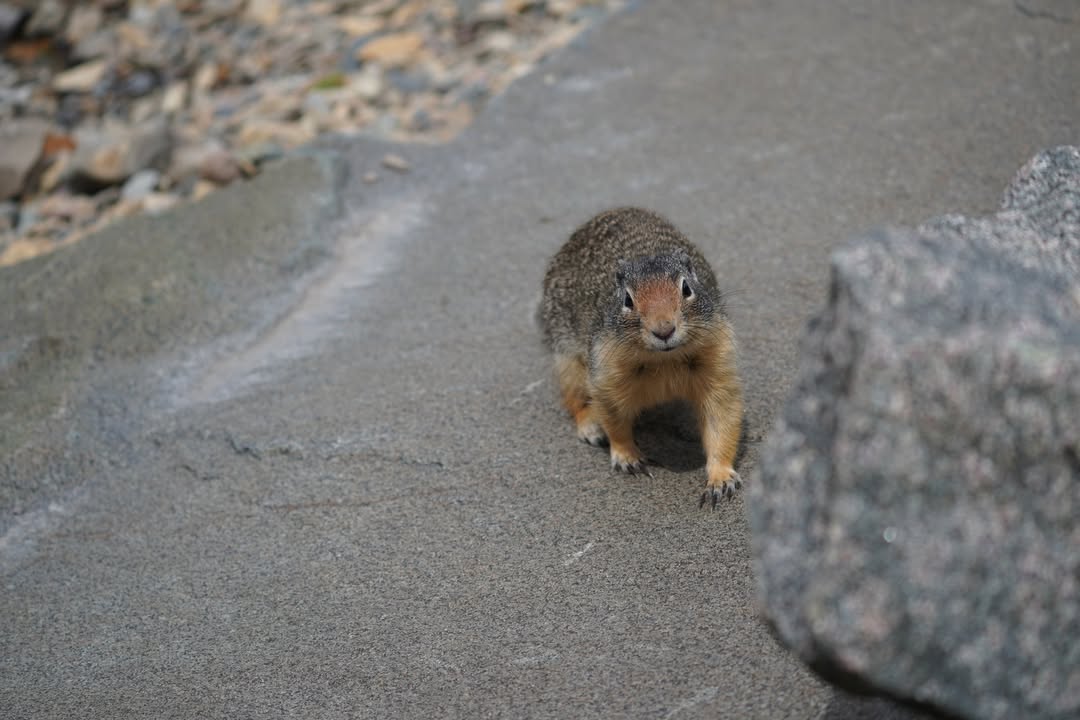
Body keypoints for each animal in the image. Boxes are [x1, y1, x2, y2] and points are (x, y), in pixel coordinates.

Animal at [540, 207, 744, 508]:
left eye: (686, 288)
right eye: (627, 300)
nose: (664, 330)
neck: (664, 360)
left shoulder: (718, 363)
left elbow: (721, 420)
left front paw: (721, 479)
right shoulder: (605, 374)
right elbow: (614, 421)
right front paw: (628, 458)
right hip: (566, 359)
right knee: (574, 398)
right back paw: (590, 427)